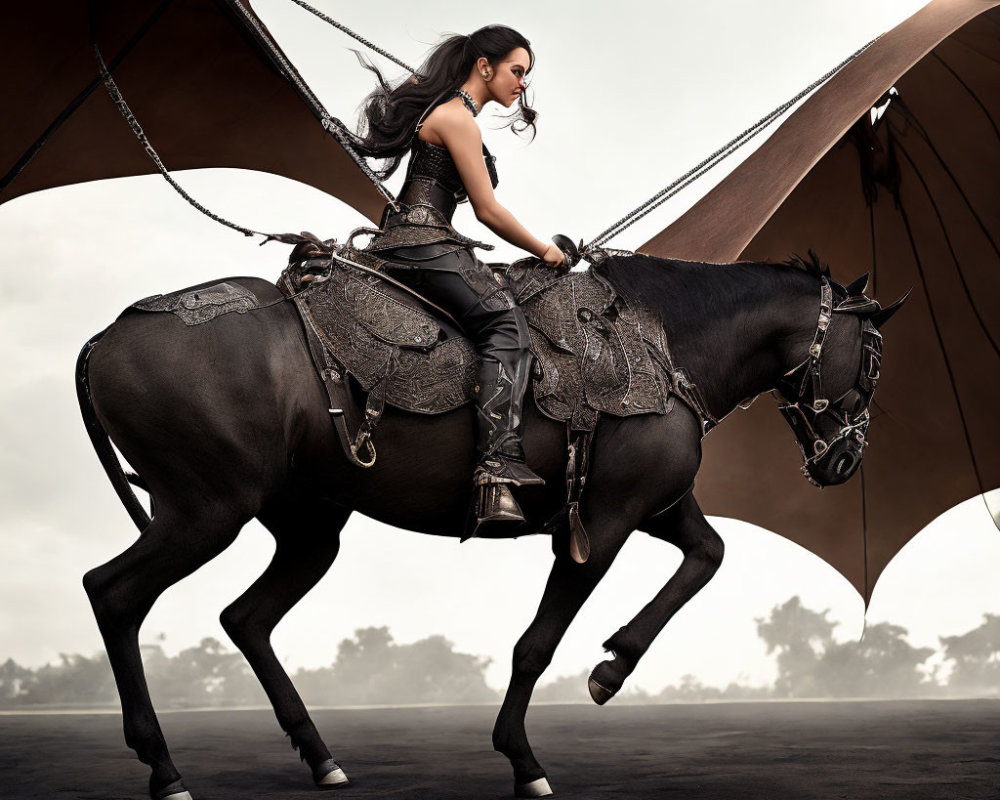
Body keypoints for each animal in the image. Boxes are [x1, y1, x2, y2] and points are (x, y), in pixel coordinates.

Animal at [78, 252, 908, 800]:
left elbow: (709, 554)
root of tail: (106, 337)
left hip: (308, 528)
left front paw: (614, 664)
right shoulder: (602, 522)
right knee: (112, 592)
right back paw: (164, 768)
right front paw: (523, 758)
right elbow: (537, 644)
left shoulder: (657, 507)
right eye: (871, 358)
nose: (847, 457)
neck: (662, 342)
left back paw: (319, 757)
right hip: (204, 510)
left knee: (245, 618)